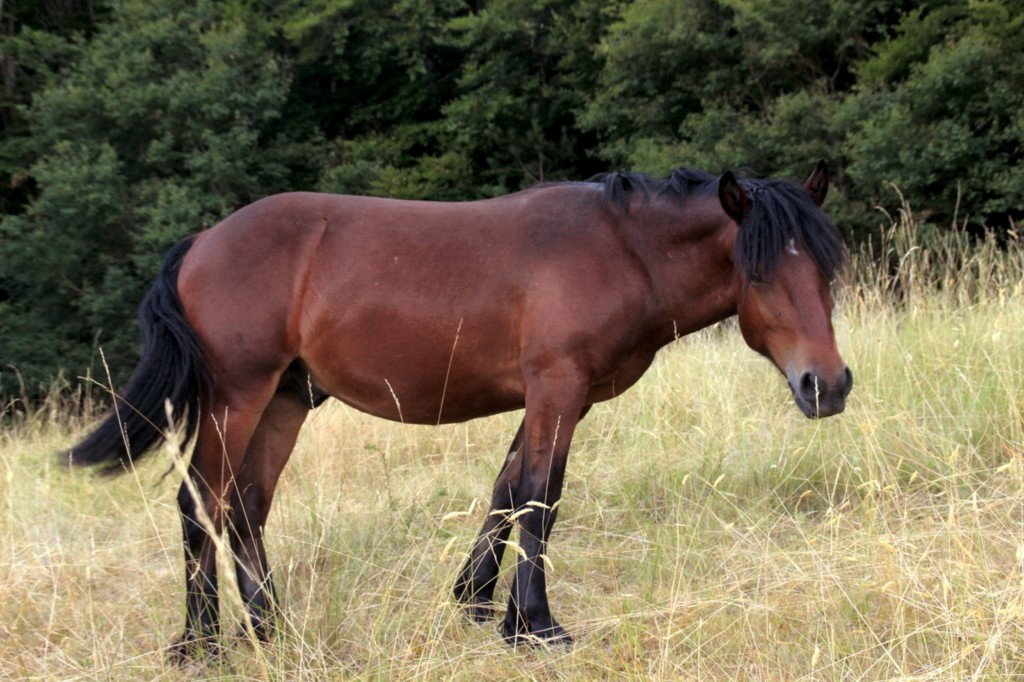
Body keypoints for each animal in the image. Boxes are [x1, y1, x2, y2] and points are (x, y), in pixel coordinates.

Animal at [67, 162, 852, 661]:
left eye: (825, 266)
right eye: (758, 271)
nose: (829, 385)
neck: (621, 249)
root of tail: (205, 241)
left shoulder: (554, 399)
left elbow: (508, 492)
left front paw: (479, 604)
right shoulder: (557, 387)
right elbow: (540, 498)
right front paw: (535, 626)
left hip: (285, 400)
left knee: (246, 506)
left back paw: (271, 631)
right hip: (237, 397)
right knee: (201, 502)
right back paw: (200, 644)